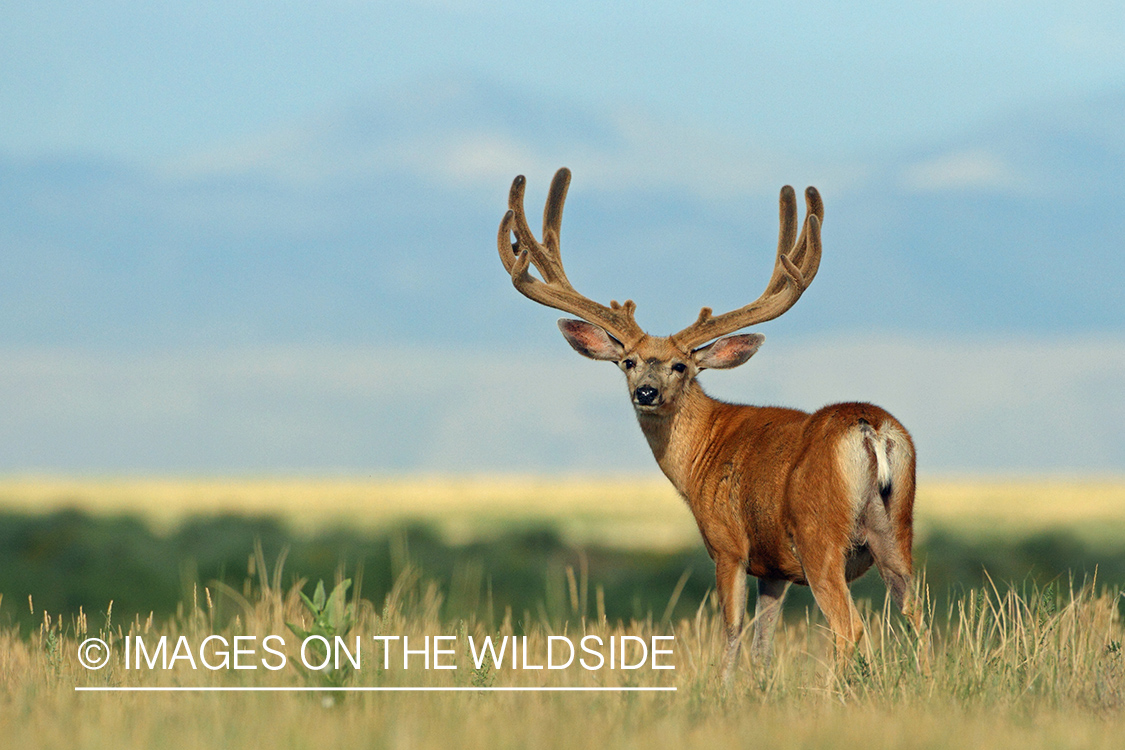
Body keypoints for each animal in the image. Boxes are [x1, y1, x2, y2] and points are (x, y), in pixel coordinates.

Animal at [496, 168, 926, 685]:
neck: (703, 449)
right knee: (917, 616)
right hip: (897, 530)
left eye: (681, 366)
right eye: (628, 361)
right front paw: (759, 688)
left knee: (850, 627)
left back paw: (830, 692)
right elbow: (763, 643)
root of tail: (870, 429)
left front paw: (724, 688)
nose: (646, 392)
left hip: (819, 534)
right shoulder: (774, 567)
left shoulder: (727, 542)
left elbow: (733, 629)